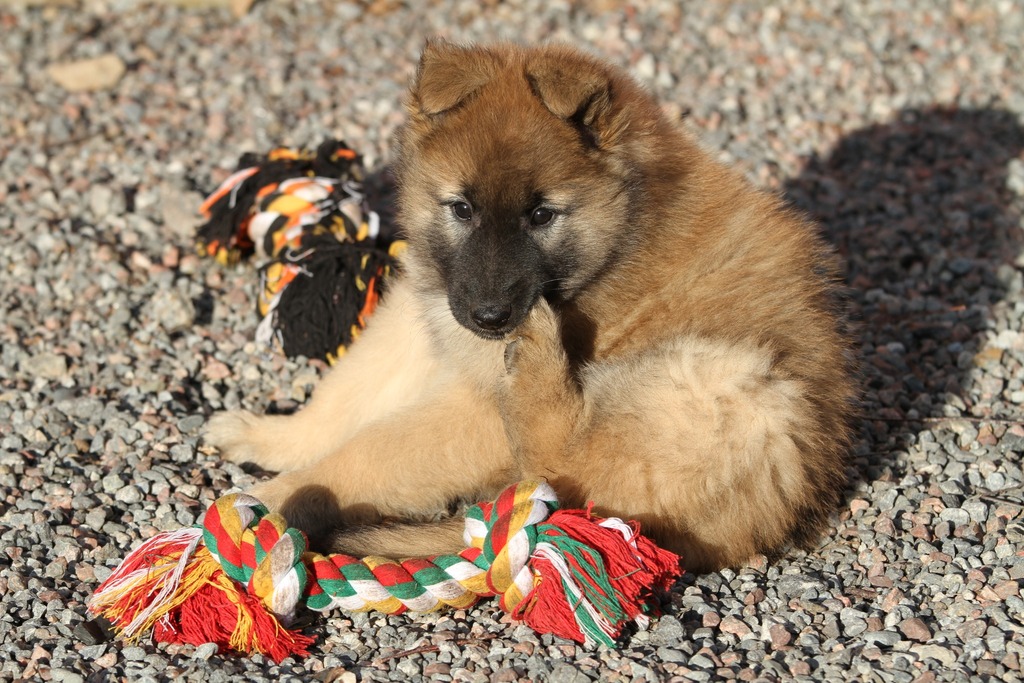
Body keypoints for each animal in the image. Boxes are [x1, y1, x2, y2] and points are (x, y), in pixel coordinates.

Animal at [201, 38, 856, 573]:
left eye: (541, 214)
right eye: (461, 208)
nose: (492, 318)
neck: (618, 238)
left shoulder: (480, 406)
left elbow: (372, 450)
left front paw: (270, 501)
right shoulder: (429, 310)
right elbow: (345, 393)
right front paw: (272, 435)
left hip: (732, 385)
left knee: (563, 460)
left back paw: (541, 360)